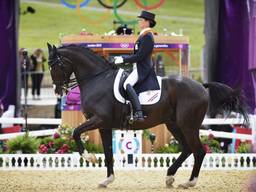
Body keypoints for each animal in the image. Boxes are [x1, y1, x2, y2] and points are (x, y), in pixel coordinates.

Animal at [47, 43, 247, 189]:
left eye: (56, 65)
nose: (57, 91)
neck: (97, 78)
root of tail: (201, 86)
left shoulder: (99, 120)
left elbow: (76, 132)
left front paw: (89, 158)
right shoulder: (104, 125)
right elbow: (108, 153)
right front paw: (107, 180)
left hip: (188, 126)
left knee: (198, 151)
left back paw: (189, 182)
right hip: (173, 124)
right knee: (187, 149)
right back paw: (169, 177)